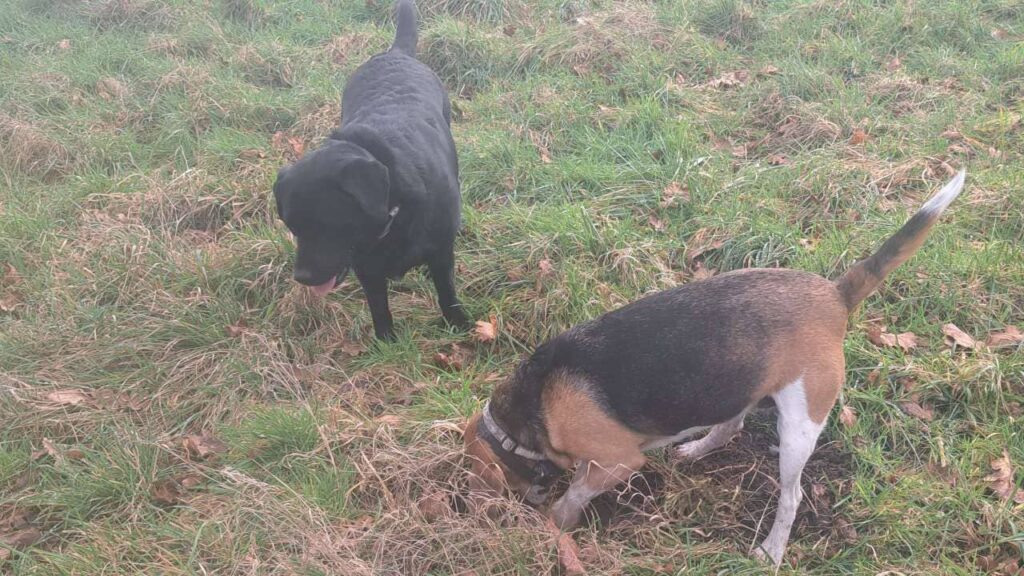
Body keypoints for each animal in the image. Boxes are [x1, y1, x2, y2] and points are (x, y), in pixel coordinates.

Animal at [270, 0, 466, 336]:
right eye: (292, 227)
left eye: (327, 224)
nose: (302, 278)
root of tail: (395, 53)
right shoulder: (366, 267)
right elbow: (379, 308)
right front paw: (386, 340)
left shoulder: (441, 250)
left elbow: (446, 290)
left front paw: (459, 322)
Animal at [464, 171, 966, 565]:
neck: (535, 403)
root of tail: (835, 294)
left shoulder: (616, 462)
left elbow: (576, 493)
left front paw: (558, 522)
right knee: (730, 426)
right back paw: (697, 448)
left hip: (800, 426)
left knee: (791, 496)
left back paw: (772, 551)